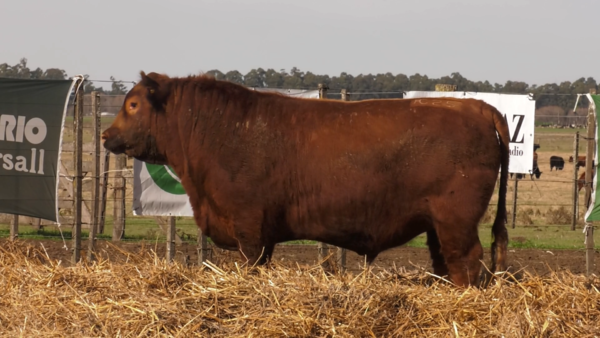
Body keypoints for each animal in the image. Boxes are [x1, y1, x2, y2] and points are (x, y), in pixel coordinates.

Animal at [101, 72, 508, 286]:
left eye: (133, 104)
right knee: (445, 261)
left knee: (466, 260)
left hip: (456, 220)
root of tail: (477, 106)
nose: (106, 135)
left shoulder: (250, 228)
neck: (221, 129)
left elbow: (252, 263)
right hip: (437, 224)